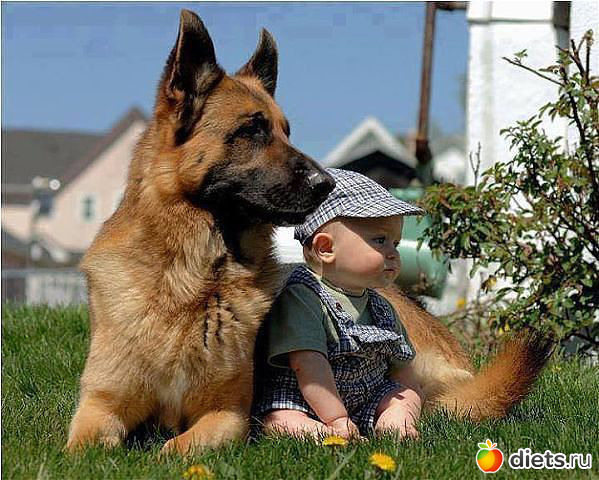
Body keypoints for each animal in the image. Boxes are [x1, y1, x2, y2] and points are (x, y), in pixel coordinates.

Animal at [67, 9, 553, 454]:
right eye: (252, 130)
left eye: (287, 131)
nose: (327, 184)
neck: (192, 281)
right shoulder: (99, 405)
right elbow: (85, 447)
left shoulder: (226, 415)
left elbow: (176, 448)